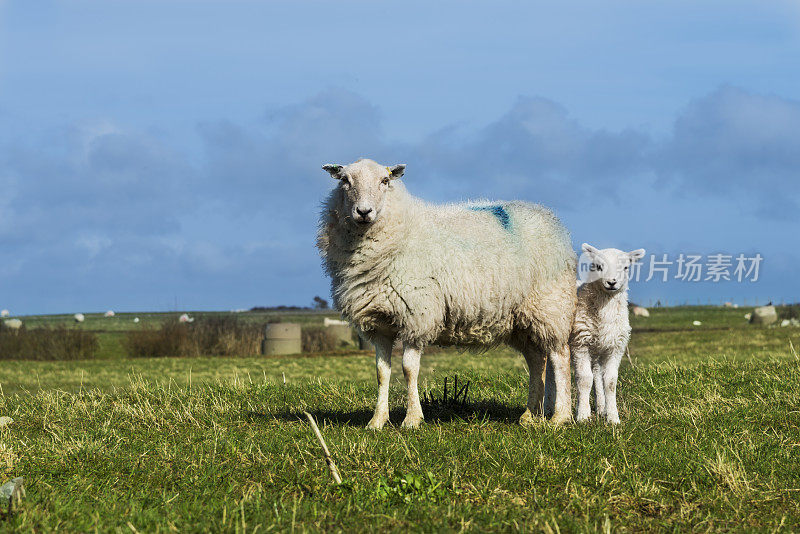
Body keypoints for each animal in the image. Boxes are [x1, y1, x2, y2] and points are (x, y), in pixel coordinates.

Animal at [316, 158, 580, 432]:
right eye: (345, 180)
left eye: (385, 181)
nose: (364, 211)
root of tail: (548, 217)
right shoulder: (378, 324)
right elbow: (381, 372)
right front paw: (377, 421)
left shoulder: (416, 316)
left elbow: (408, 369)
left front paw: (412, 419)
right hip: (520, 320)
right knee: (537, 360)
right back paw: (530, 415)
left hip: (550, 306)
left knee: (560, 356)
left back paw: (559, 417)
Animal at [572, 245, 648, 426]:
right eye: (598, 266)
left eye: (626, 267)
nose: (612, 282)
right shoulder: (580, 344)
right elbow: (584, 379)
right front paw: (583, 416)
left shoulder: (615, 348)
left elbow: (610, 382)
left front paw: (613, 417)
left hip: (598, 350)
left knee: (597, 375)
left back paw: (601, 408)